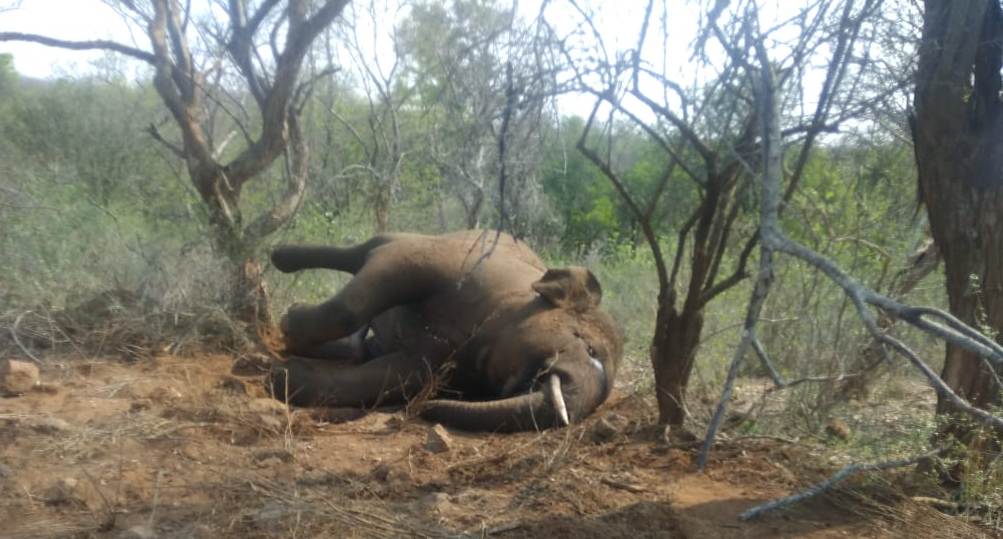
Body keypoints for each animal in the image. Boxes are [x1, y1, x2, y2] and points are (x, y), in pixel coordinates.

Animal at [267, 230, 623, 432]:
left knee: (363, 348)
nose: (422, 411)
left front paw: (281, 377)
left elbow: (398, 375)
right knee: (364, 250)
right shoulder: (458, 264)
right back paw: (280, 256)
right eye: (588, 346)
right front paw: (288, 325)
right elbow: (372, 288)